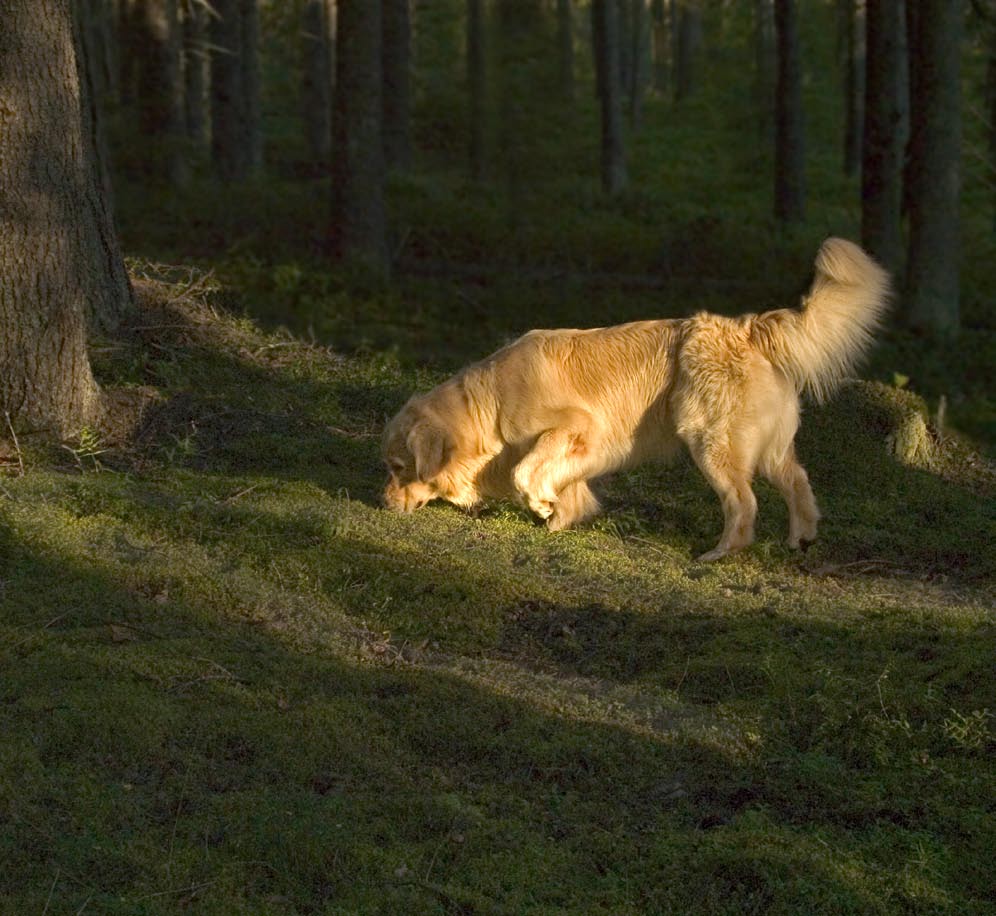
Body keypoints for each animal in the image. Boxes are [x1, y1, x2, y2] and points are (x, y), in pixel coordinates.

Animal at [382, 236, 888, 560]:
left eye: (398, 466)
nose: (382, 503)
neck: (487, 405)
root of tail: (747, 328)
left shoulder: (577, 426)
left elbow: (527, 471)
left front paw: (543, 505)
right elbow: (561, 481)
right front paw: (561, 515)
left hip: (710, 442)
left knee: (743, 504)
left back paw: (719, 553)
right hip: (768, 447)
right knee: (798, 480)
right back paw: (801, 538)